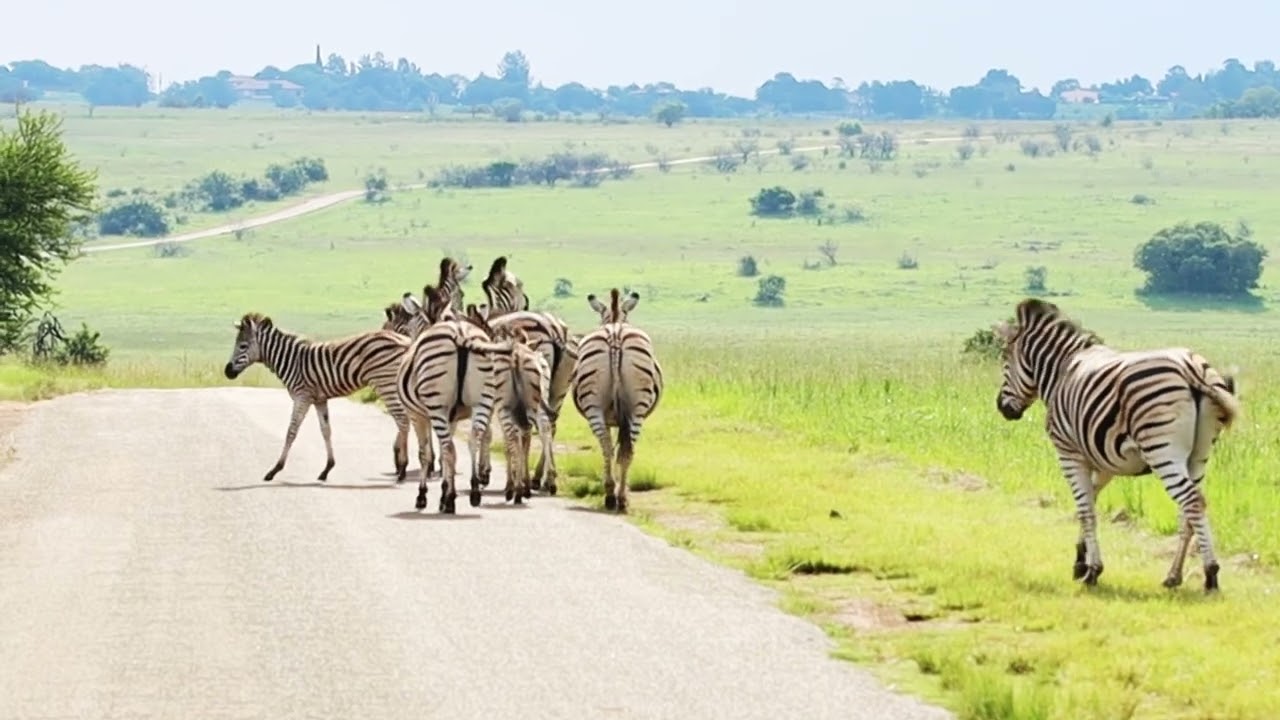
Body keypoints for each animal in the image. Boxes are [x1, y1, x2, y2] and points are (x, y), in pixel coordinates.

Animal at [223, 312, 416, 484]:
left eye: (242, 346)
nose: (227, 372)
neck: (291, 361)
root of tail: (405, 341)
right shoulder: (319, 399)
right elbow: (326, 431)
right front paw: (327, 469)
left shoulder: (302, 397)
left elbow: (291, 432)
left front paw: (275, 469)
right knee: (404, 420)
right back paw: (401, 465)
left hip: (386, 384)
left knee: (402, 420)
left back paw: (402, 469)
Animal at [395, 287, 510, 513]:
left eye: (410, 326)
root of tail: (461, 335)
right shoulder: (453, 418)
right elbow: (442, 454)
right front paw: (444, 491)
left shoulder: (418, 415)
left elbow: (426, 453)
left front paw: (425, 496)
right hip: (482, 400)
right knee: (474, 439)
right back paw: (474, 491)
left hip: (437, 405)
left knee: (451, 448)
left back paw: (451, 499)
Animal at [571, 288, 664, 513]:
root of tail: (615, 334)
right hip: (633, 409)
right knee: (620, 450)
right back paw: (617, 497)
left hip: (600, 407)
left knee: (611, 448)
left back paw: (614, 496)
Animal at [994, 297, 1241, 592]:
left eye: (1005, 360)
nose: (1002, 407)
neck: (1061, 371)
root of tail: (1192, 366)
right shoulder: (1104, 463)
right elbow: (1089, 502)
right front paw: (1080, 561)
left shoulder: (1069, 453)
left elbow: (1086, 510)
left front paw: (1093, 571)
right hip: (1199, 455)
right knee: (1189, 511)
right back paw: (1174, 575)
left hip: (1162, 450)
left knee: (1191, 502)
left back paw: (1211, 575)